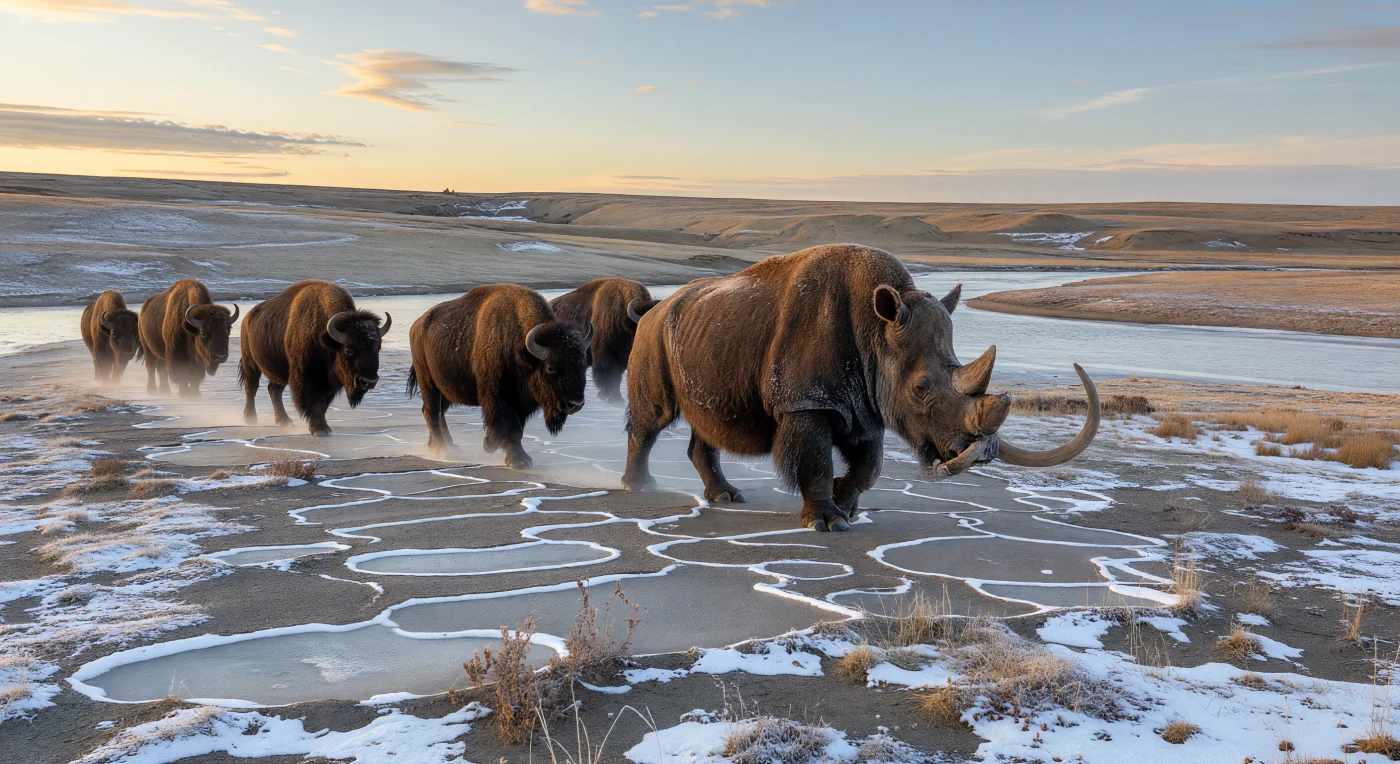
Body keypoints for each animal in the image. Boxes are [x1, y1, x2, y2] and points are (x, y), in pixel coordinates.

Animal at [238, 280, 389, 437]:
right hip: (250, 362)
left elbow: (323, 404)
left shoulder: (328, 384)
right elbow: (315, 403)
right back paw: (250, 419)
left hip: (279, 371)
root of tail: (247, 318)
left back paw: (285, 421)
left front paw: (322, 427)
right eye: (348, 350)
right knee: (251, 388)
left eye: (378, 348)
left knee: (274, 390)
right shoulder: (306, 378)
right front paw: (320, 429)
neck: (326, 338)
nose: (369, 382)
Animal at [408, 284, 593, 469]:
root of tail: (416, 326)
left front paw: (490, 444)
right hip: (428, 383)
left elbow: (517, 429)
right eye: (550, 367)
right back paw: (443, 450)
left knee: (438, 413)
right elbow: (511, 427)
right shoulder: (500, 397)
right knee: (431, 412)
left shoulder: (520, 403)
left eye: (583, 365)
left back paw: (446, 446)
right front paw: (518, 460)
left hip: (445, 390)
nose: (575, 404)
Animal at [622, 244, 1100, 531]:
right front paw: (827, 523)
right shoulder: (806, 403)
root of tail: (654, 306)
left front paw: (845, 505)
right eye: (922, 388)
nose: (981, 451)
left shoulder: (867, 405)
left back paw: (726, 497)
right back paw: (638, 488)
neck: (879, 331)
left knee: (706, 421)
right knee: (653, 417)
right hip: (653, 335)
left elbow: (869, 466)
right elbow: (815, 461)